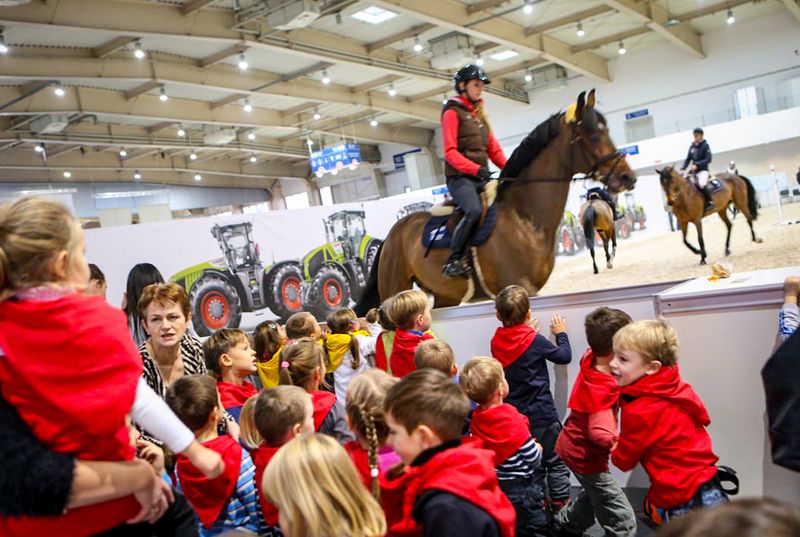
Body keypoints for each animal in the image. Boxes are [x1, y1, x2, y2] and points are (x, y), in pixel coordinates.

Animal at [353, 90, 636, 313]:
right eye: (593, 135)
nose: (628, 177)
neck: (522, 217)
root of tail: (392, 234)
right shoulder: (521, 286)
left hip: (444, 297)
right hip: (395, 289)